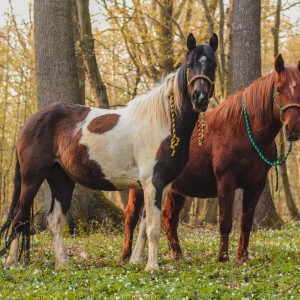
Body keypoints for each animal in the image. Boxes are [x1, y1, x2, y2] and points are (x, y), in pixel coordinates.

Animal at [1, 34, 219, 270]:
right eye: (190, 65)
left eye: (212, 65)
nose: (200, 98)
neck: (162, 122)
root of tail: (30, 122)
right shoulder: (152, 182)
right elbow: (153, 228)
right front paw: (152, 267)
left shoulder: (163, 185)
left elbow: (144, 226)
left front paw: (136, 261)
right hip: (32, 178)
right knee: (19, 217)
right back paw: (12, 262)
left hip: (61, 179)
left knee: (54, 220)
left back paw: (64, 263)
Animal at [122, 55, 300, 264]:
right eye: (279, 89)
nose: (293, 129)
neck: (242, 131)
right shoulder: (226, 180)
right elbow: (225, 222)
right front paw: (222, 257)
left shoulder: (256, 184)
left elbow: (246, 222)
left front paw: (242, 256)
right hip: (139, 186)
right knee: (131, 216)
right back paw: (126, 255)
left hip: (175, 189)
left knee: (169, 218)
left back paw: (177, 254)